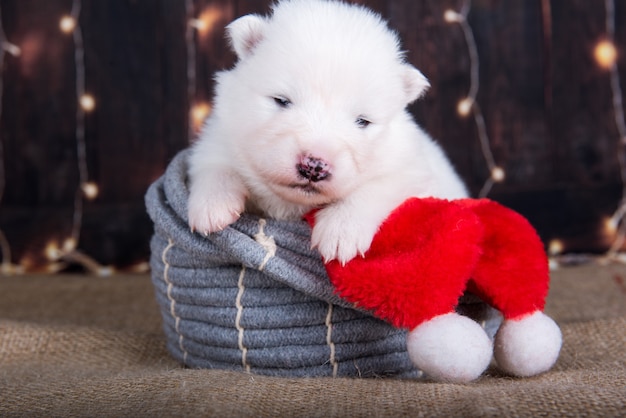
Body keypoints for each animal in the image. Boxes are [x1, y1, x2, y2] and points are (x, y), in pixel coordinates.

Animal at [188, 0, 466, 264]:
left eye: (362, 121)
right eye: (281, 100)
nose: (314, 166)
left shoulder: (410, 168)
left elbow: (377, 187)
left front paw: (342, 229)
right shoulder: (220, 133)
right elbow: (215, 165)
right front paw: (212, 205)